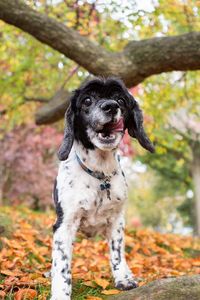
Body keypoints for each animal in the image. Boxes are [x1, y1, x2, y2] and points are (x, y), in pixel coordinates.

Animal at [50, 77, 154, 298]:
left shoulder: (117, 221)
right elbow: (62, 264)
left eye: (120, 100)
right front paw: (60, 293)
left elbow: (117, 254)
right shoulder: (64, 225)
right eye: (87, 100)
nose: (111, 106)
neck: (99, 173)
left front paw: (123, 279)